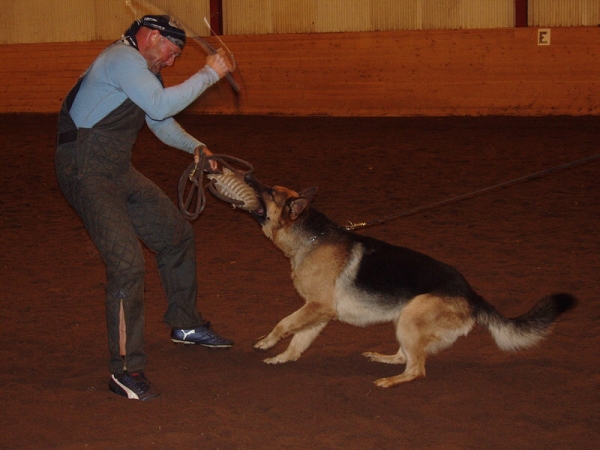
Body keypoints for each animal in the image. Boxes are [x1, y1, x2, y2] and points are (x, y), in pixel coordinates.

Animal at [244, 176, 576, 386]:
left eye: (270, 192)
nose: (248, 177)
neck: (312, 238)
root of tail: (472, 295)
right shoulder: (319, 313)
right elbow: (298, 340)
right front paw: (283, 358)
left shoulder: (315, 308)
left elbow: (284, 324)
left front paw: (266, 342)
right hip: (404, 320)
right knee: (407, 356)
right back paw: (384, 359)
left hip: (412, 317)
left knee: (417, 370)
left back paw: (391, 381)